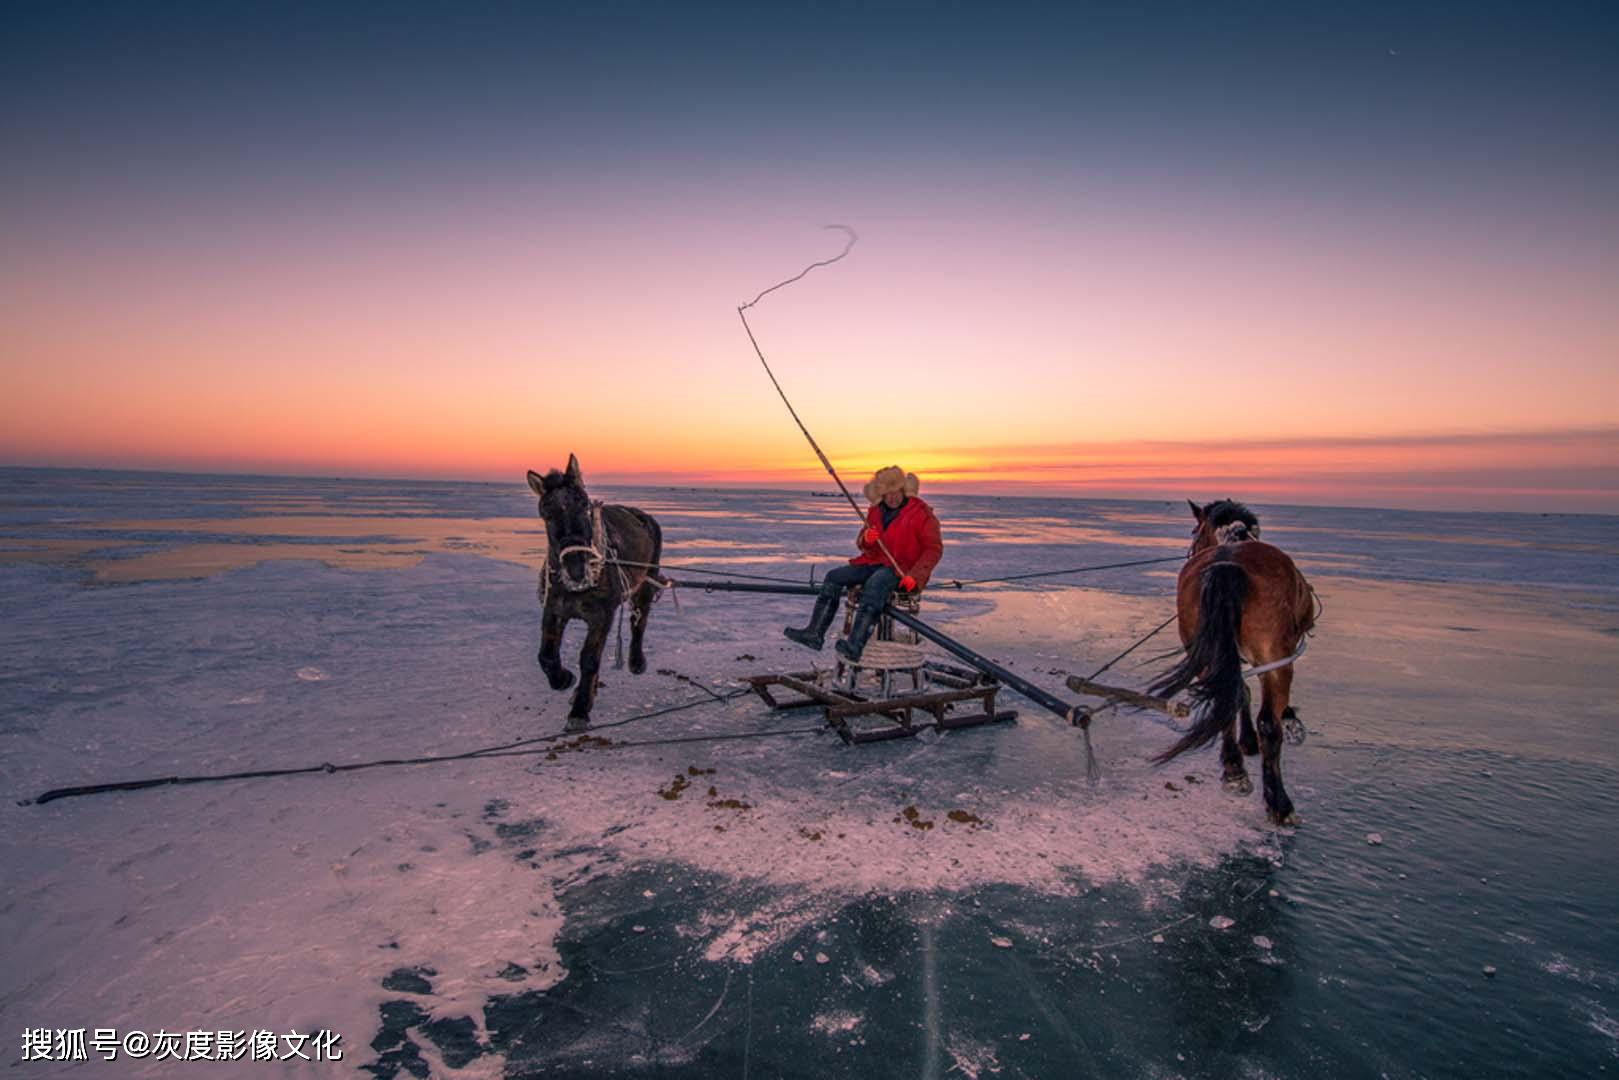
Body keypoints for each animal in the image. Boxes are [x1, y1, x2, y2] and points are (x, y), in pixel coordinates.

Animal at [524, 453, 663, 731]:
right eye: (545, 513)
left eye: (584, 504)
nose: (577, 566)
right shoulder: (554, 610)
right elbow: (546, 655)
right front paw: (563, 679)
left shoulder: (601, 616)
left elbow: (589, 658)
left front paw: (579, 710)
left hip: (644, 586)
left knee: (639, 622)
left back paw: (636, 661)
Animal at [1152, 501, 1314, 829]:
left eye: (1194, 531)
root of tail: (1226, 563)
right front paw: (1289, 724)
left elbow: (1240, 693)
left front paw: (1245, 743)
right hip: (1274, 655)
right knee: (1268, 723)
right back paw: (1280, 804)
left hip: (1206, 651)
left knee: (1224, 703)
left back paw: (1234, 770)